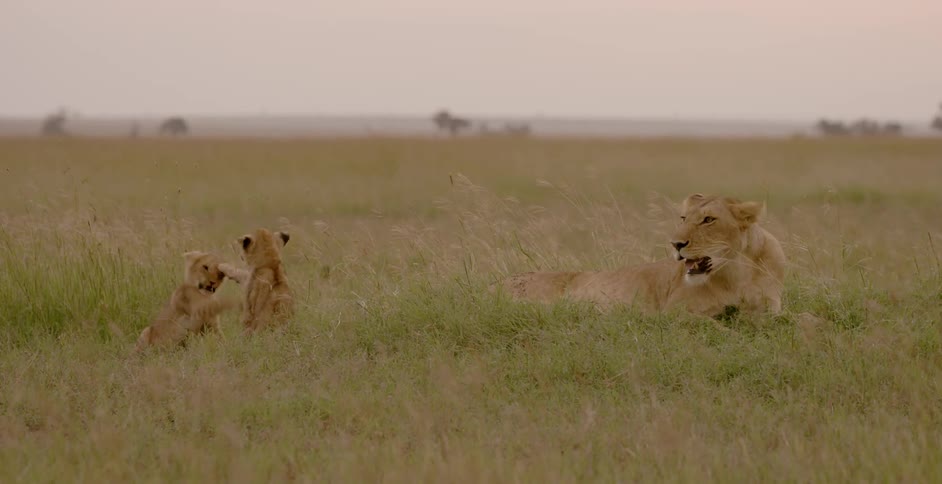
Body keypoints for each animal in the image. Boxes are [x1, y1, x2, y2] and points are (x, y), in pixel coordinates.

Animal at [502, 194, 786, 317]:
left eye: (708, 220)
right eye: (683, 218)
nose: (676, 244)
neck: (737, 272)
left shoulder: (770, 308)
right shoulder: (675, 312)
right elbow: (717, 327)